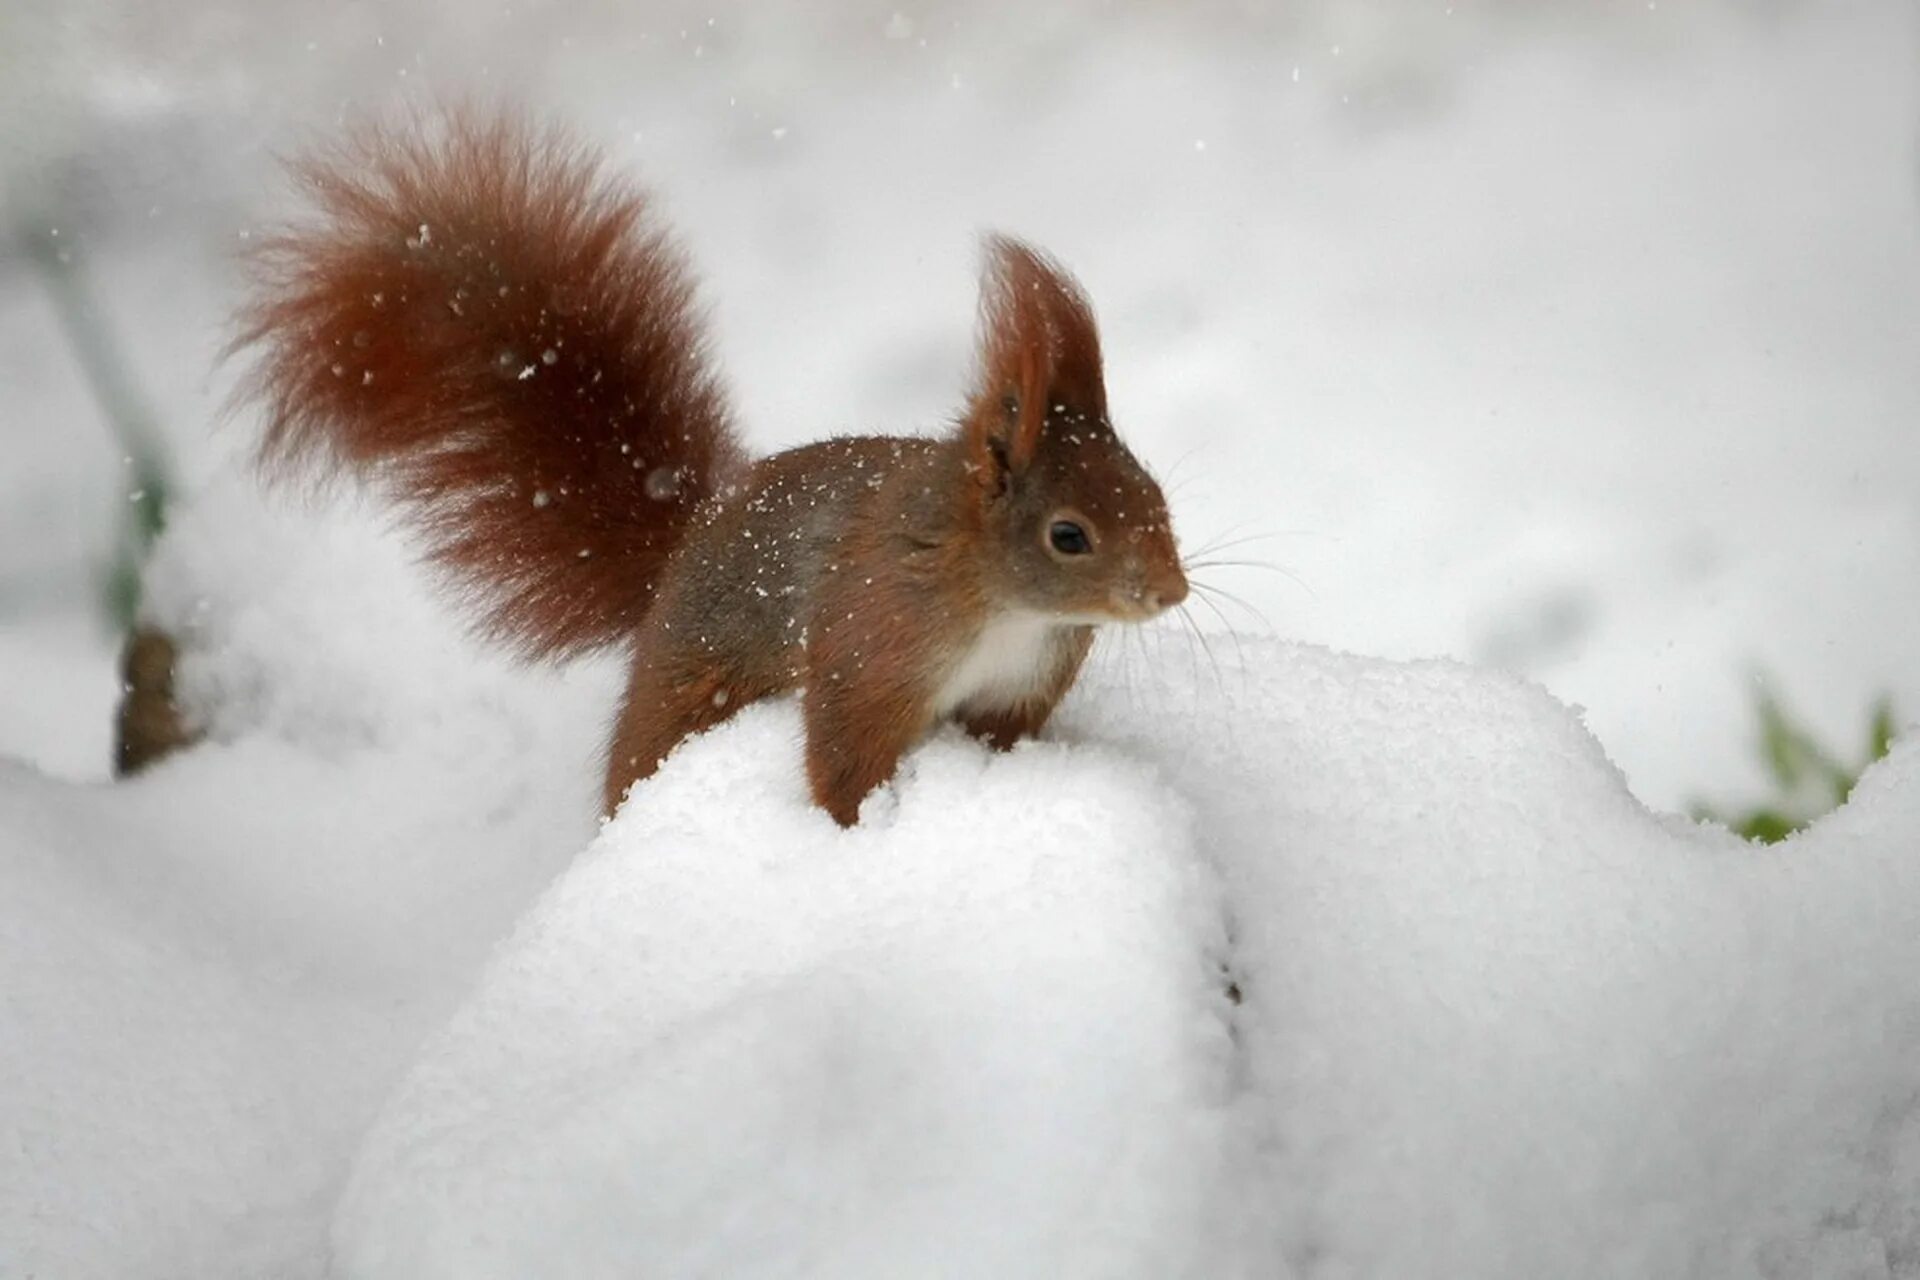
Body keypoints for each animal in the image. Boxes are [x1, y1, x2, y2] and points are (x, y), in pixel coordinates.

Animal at [238, 115, 1182, 825]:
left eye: (1156, 494)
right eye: (1069, 535)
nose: (1172, 592)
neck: (1001, 600)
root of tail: (682, 549)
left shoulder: (1020, 687)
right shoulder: (875, 642)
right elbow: (843, 756)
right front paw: (855, 833)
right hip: (685, 696)